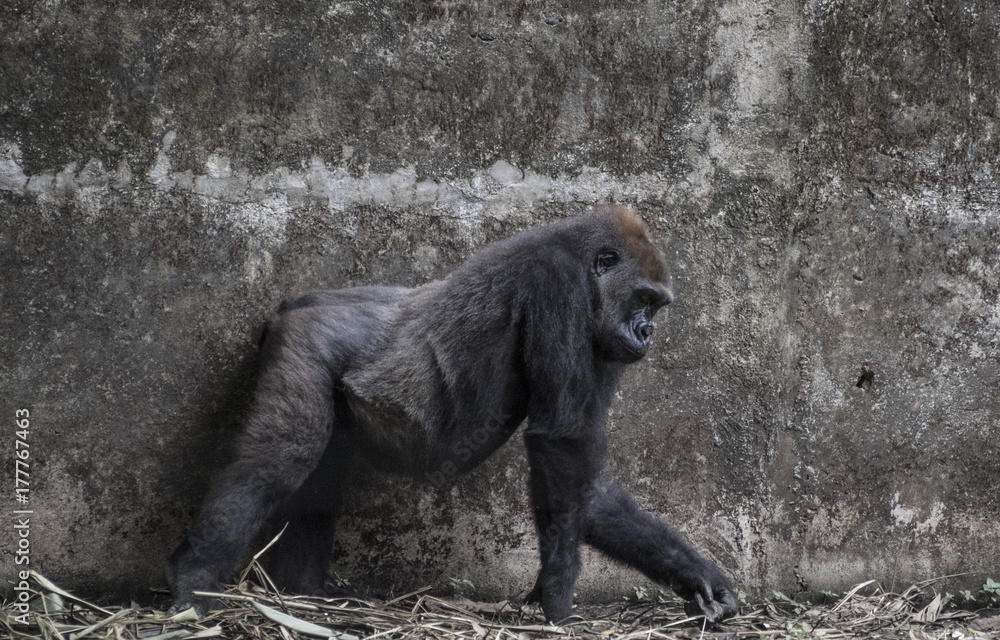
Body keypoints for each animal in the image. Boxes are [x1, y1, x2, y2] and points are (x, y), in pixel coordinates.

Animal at [167, 205, 739, 624]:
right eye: (644, 298)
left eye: (656, 306)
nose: (647, 333)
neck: (579, 257)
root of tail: (289, 307)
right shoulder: (558, 285)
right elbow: (561, 443)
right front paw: (556, 599)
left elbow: (585, 484)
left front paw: (696, 575)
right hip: (302, 343)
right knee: (277, 460)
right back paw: (193, 582)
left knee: (315, 482)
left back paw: (301, 597)